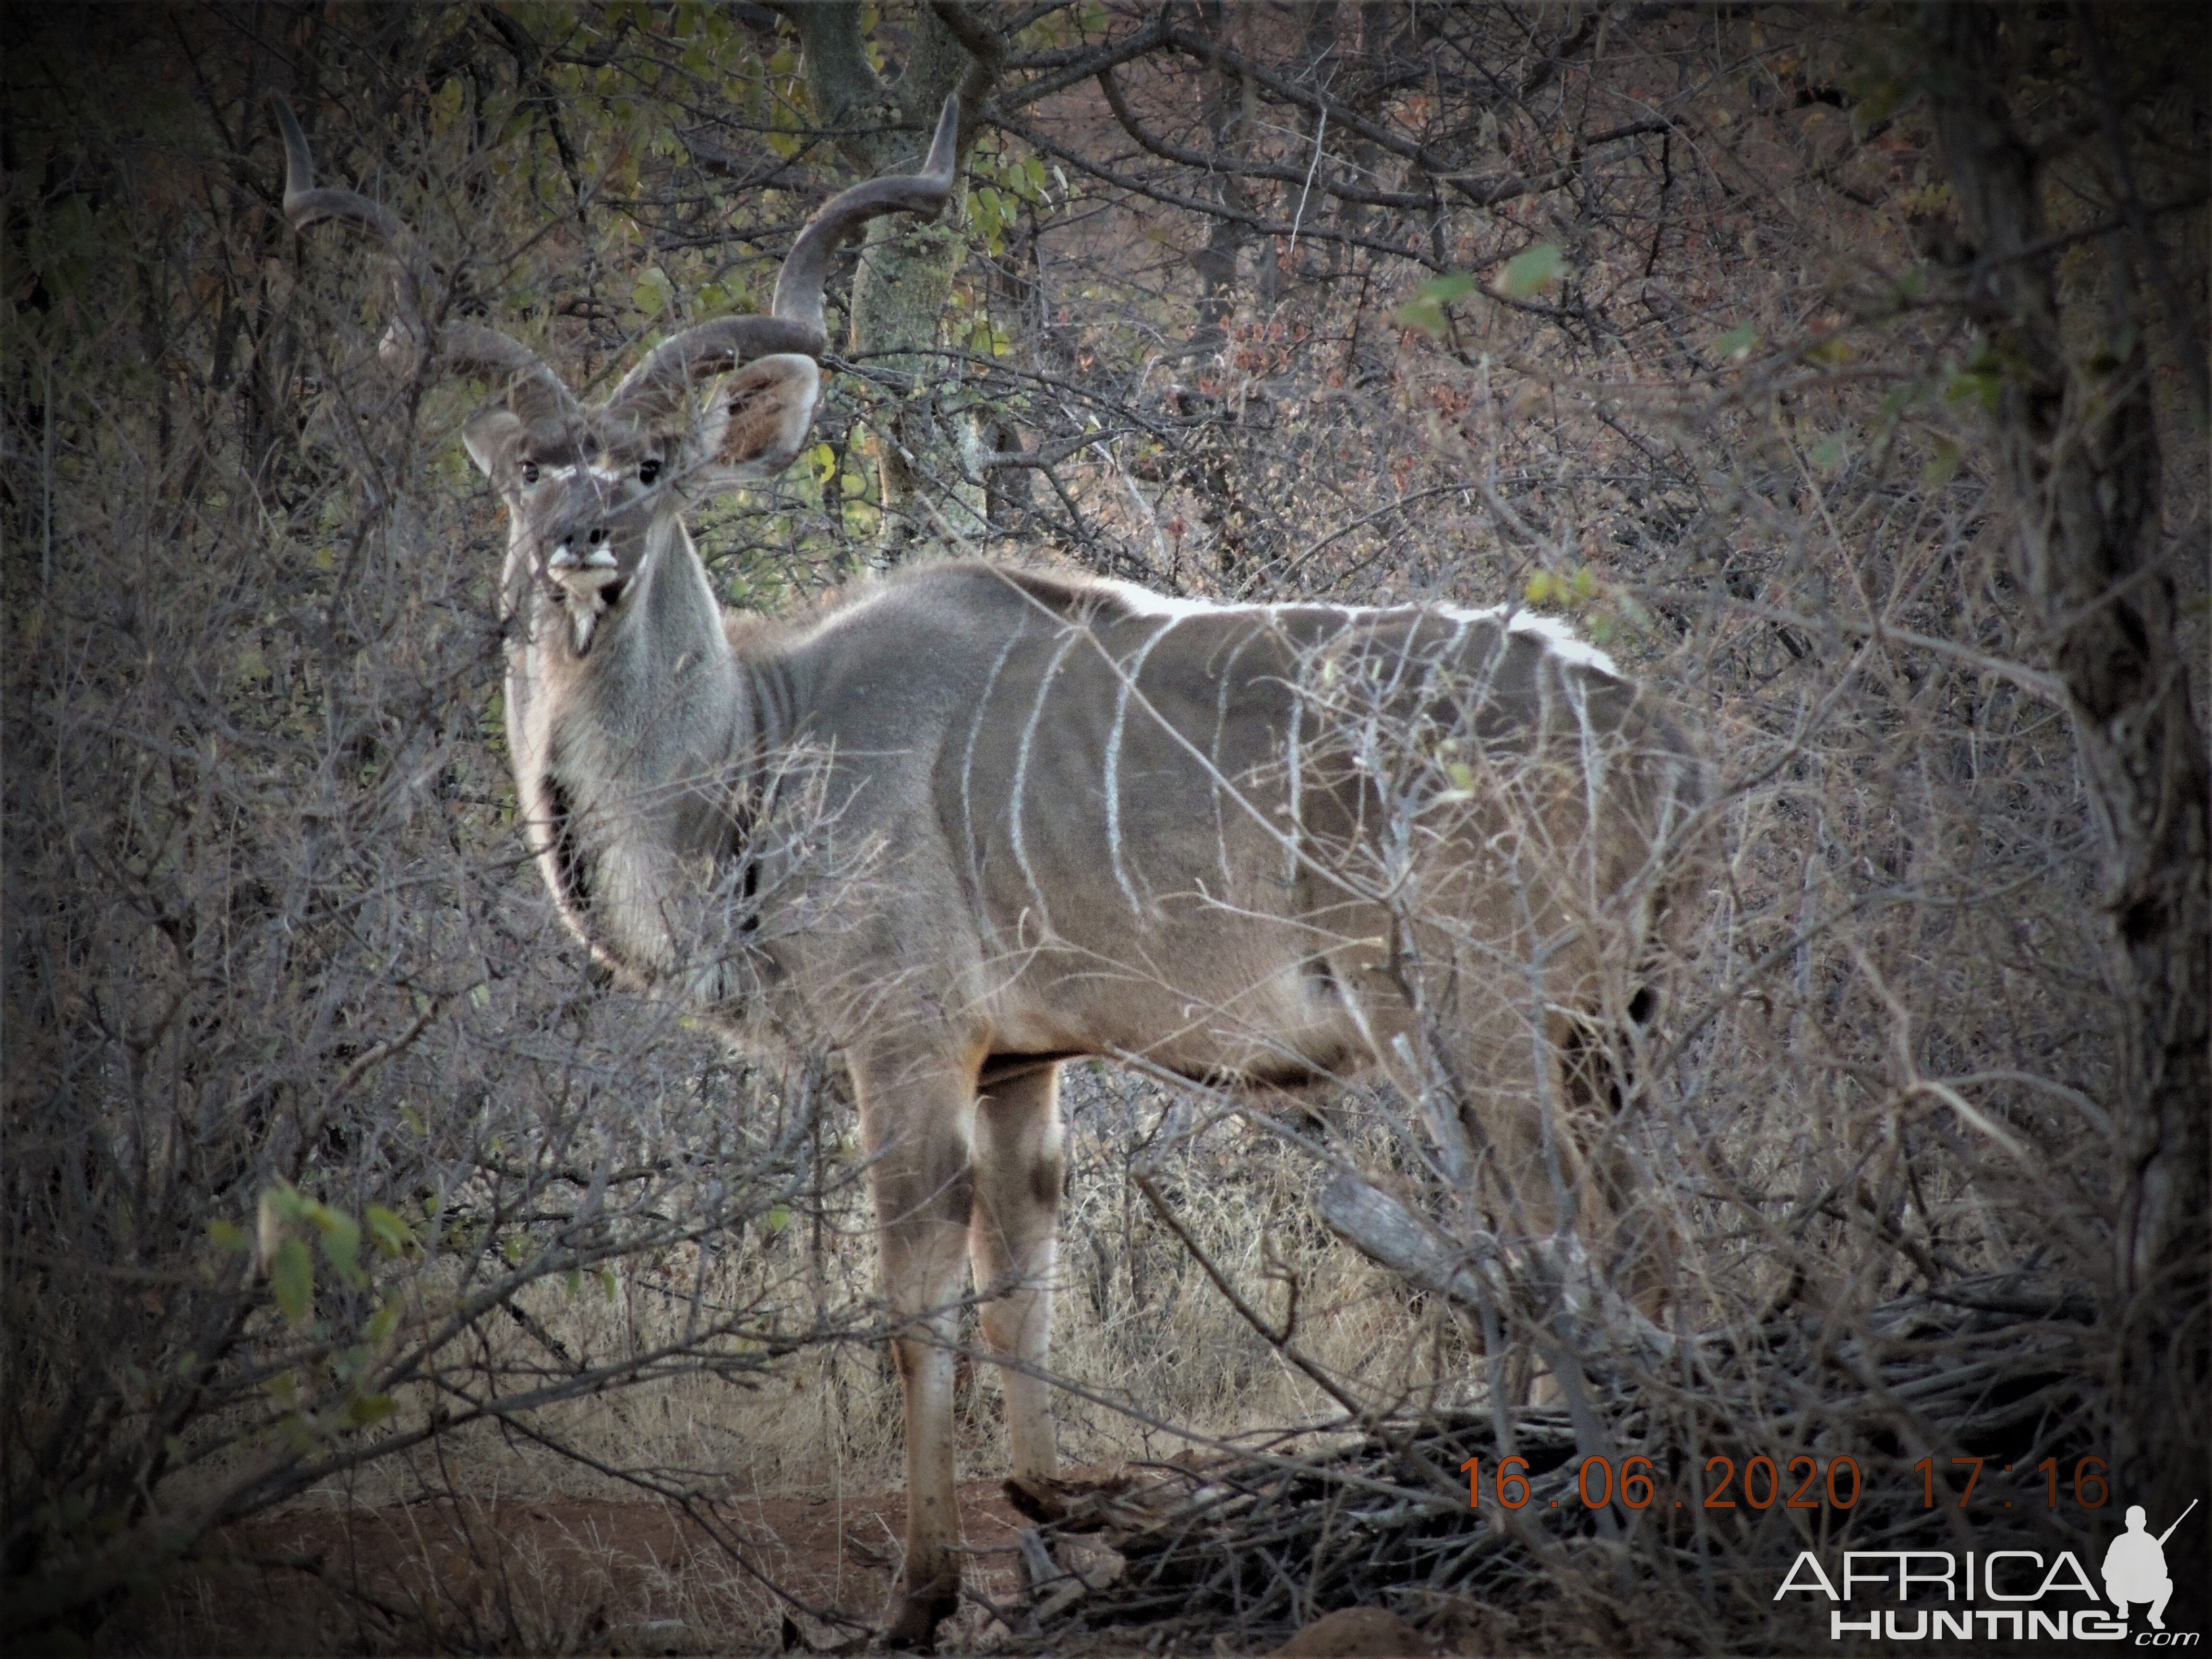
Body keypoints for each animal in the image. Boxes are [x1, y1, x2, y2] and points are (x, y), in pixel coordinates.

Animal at [285, 94, 1707, 1654]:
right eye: (535, 468)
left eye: (652, 467)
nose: (579, 547)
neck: (761, 746)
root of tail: (1640, 723)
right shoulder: (1023, 1058)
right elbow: (1025, 1280)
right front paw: (1069, 1519)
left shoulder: (902, 1041)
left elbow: (918, 1305)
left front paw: (917, 1597)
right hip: (1603, 1035)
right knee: (1634, 1243)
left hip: (1475, 1024)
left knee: (1560, 1248)